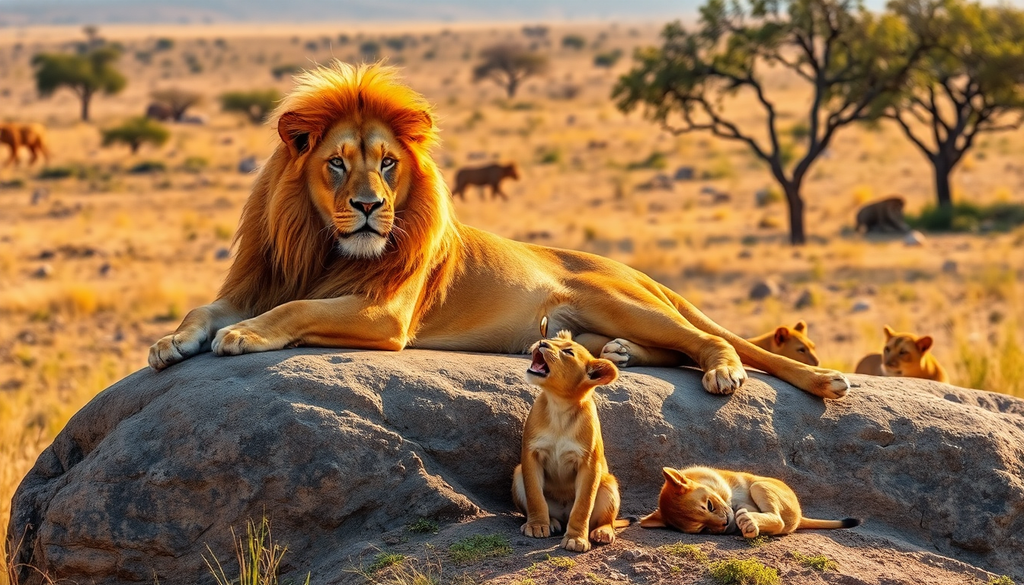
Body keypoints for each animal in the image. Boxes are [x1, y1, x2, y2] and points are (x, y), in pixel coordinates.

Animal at [148, 62, 849, 400]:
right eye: (337, 163)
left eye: (388, 163)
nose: (371, 206)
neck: (320, 242)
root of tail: (634, 269)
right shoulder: (257, 282)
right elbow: (203, 308)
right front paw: (170, 342)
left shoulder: (387, 315)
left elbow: (295, 310)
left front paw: (243, 336)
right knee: (664, 347)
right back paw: (622, 356)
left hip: (617, 300)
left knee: (710, 341)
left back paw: (735, 374)